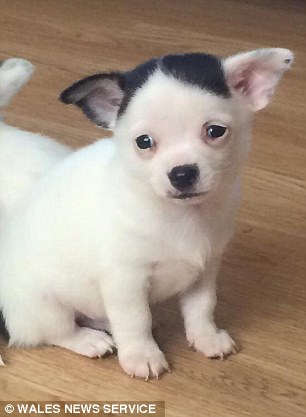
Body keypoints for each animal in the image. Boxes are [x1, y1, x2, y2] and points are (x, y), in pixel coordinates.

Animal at [0, 48, 292, 376]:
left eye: (215, 131)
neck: (181, 215)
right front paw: (141, 355)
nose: (182, 173)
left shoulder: (204, 271)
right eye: (144, 142)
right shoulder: (126, 282)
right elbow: (136, 321)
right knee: (57, 333)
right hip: (47, 309)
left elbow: (202, 308)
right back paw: (88, 340)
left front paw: (206, 338)